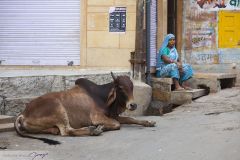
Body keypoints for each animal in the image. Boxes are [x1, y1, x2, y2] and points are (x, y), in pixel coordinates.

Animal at [14, 72, 156, 145]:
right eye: (120, 87)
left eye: (132, 87)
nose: (133, 105)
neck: (102, 96)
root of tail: (23, 113)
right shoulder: (97, 117)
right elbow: (117, 124)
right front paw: (100, 127)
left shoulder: (113, 115)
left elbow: (131, 119)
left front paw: (149, 122)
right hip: (58, 108)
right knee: (67, 131)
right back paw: (93, 130)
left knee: (57, 130)